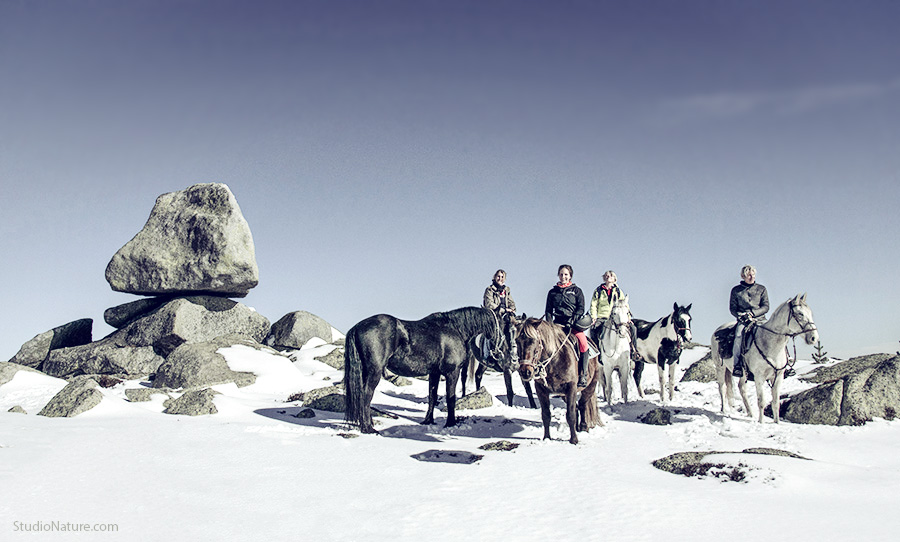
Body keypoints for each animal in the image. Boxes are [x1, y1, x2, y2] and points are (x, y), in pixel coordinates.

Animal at [342, 308, 516, 436]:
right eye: (505, 330)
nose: (510, 359)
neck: (455, 329)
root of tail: (357, 327)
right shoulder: (452, 373)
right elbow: (451, 398)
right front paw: (451, 422)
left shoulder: (434, 373)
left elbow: (432, 396)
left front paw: (428, 421)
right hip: (374, 372)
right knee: (366, 395)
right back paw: (368, 428)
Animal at [516, 318, 600, 446]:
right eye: (517, 341)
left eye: (534, 340)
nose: (525, 371)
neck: (554, 361)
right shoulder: (541, 390)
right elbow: (546, 415)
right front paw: (547, 438)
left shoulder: (571, 387)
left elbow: (570, 415)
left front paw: (574, 440)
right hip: (564, 394)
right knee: (576, 407)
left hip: (590, 386)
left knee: (582, 405)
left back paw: (583, 427)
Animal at [712, 294, 820, 424]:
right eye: (800, 314)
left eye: (810, 313)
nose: (814, 338)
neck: (770, 344)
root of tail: (718, 330)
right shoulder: (759, 377)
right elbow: (761, 401)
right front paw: (761, 422)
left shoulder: (778, 376)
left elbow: (775, 402)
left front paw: (777, 422)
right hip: (720, 368)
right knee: (722, 388)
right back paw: (724, 410)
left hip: (743, 373)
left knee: (742, 388)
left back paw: (750, 413)